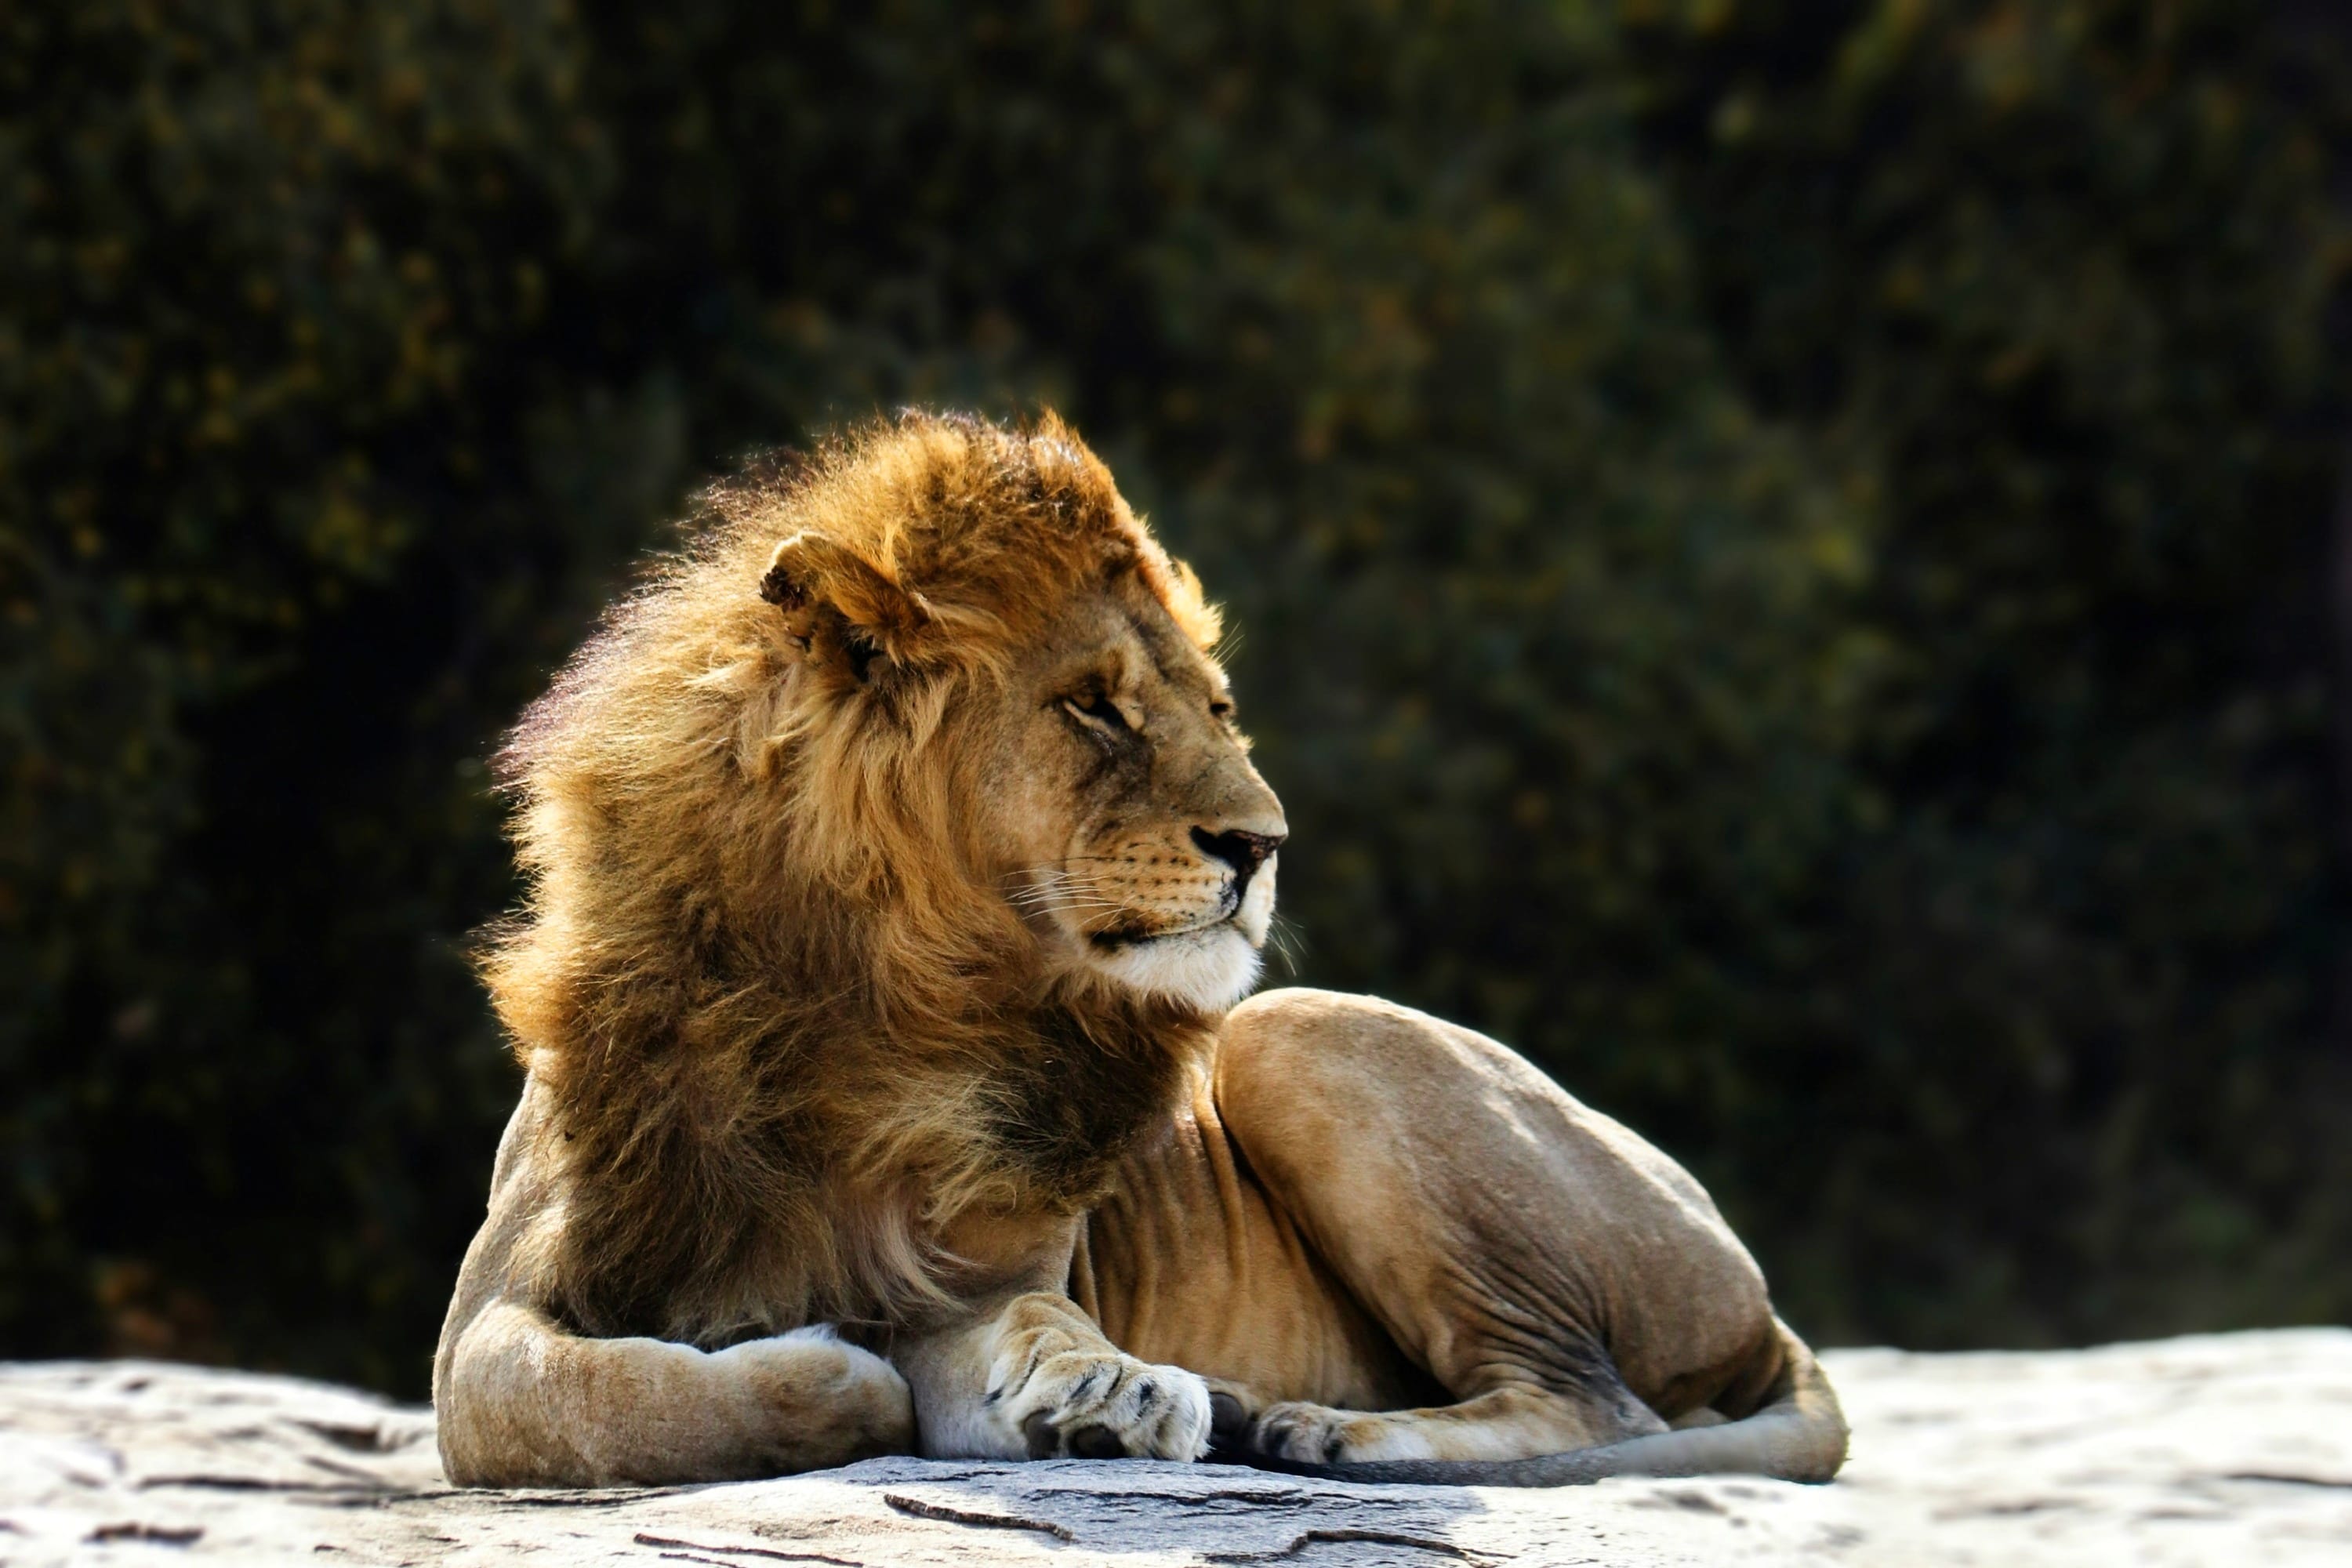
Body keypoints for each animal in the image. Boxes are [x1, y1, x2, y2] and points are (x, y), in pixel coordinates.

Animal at [433, 410, 1848, 1489]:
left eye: (1217, 711)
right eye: (1095, 708)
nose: (1265, 844)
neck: (884, 1007)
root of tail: (1761, 1292)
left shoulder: (975, 1278)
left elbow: (1024, 1322)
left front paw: (1101, 1387)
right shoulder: (485, 1327)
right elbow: (604, 1401)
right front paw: (835, 1365)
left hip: (1294, 1033)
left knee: (1601, 1404)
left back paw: (1321, 1431)